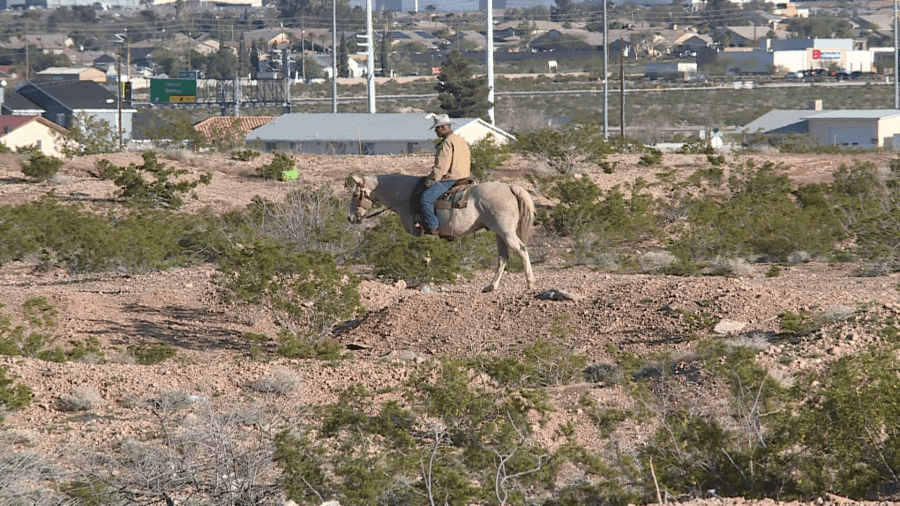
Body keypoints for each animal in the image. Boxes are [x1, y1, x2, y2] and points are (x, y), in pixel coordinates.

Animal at [348, 174, 536, 292]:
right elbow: (427, 257)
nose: (350, 217)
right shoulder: (428, 235)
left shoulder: (423, 233)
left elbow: (425, 258)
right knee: (503, 257)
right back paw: (491, 286)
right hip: (499, 233)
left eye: (356, 194)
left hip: (505, 232)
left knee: (521, 250)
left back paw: (530, 284)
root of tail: (510, 187)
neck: (407, 195)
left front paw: (425, 283)